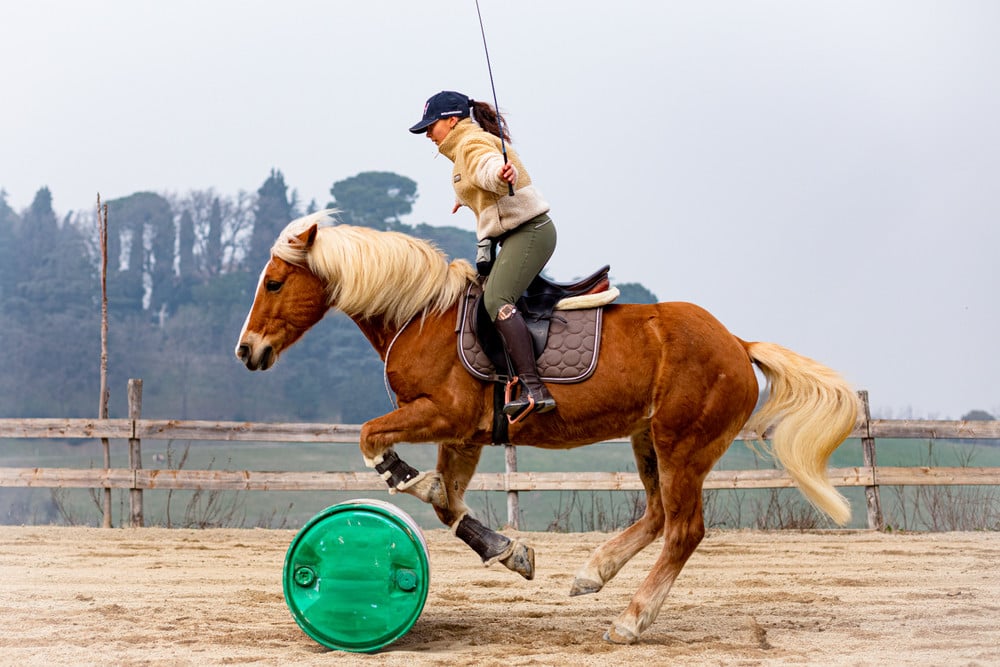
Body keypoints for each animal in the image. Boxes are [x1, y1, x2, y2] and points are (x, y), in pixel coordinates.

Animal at [235, 210, 858, 645]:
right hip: (649, 441)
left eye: (273, 283)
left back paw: (631, 621)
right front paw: (508, 551)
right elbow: (446, 504)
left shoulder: (443, 414)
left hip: (683, 445)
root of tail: (737, 342)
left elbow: (372, 440)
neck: (421, 314)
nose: (247, 351)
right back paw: (593, 573)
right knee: (659, 515)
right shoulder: (463, 436)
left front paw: (404, 475)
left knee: (684, 530)